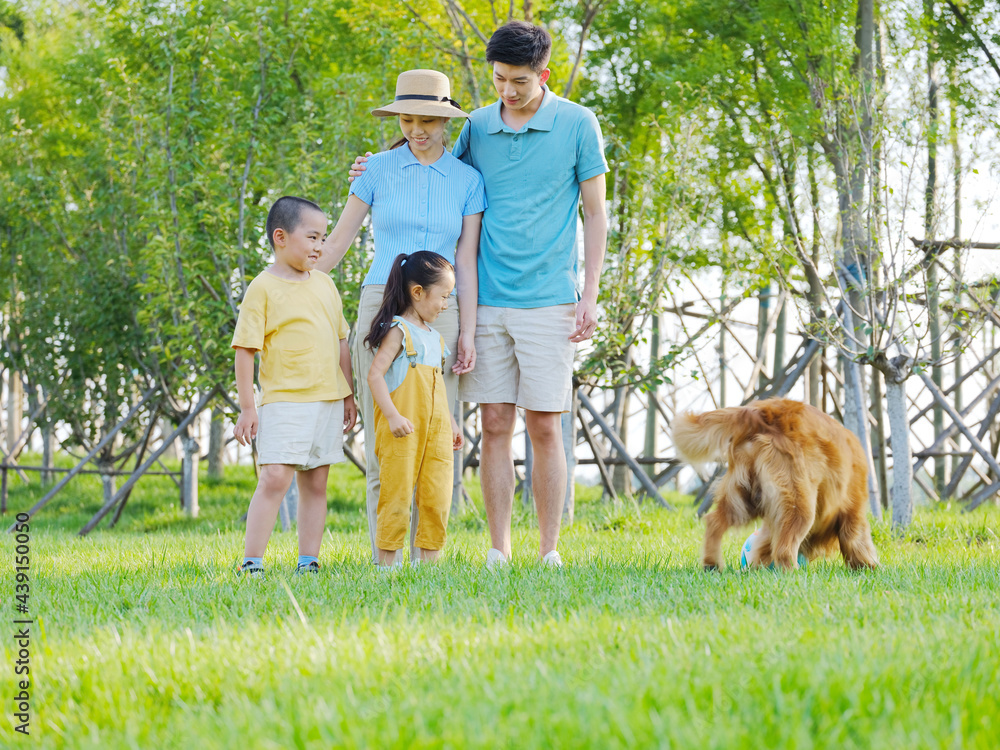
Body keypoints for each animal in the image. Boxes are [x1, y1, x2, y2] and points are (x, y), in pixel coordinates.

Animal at [672, 400, 876, 568]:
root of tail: (761, 412)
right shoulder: (854, 509)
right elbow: (857, 537)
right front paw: (870, 567)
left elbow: (763, 544)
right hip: (799, 503)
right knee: (784, 548)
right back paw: (793, 573)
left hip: (742, 497)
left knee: (714, 522)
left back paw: (712, 564)